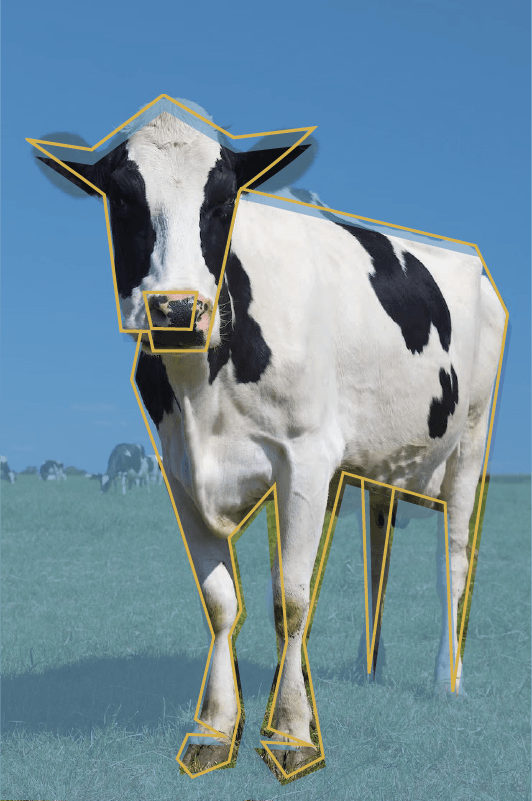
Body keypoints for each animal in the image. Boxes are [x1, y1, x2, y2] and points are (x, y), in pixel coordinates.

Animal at [36, 101, 506, 778]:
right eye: (121, 198)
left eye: (223, 199)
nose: (177, 310)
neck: (202, 389)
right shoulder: (179, 471)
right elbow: (219, 603)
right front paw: (212, 730)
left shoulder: (305, 459)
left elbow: (290, 599)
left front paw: (290, 733)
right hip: (380, 459)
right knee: (379, 550)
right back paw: (370, 669)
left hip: (471, 439)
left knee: (456, 556)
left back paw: (449, 680)